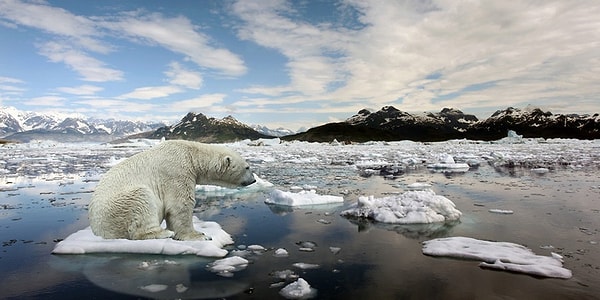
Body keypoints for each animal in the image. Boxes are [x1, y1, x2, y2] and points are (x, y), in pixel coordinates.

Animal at [88, 141, 254, 241]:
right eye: (247, 167)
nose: (253, 180)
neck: (191, 154)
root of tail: (97, 231)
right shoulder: (177, 172)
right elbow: (181, 205)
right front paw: (200, 235)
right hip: (118, 207)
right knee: (141, 200)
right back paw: (163, 233)